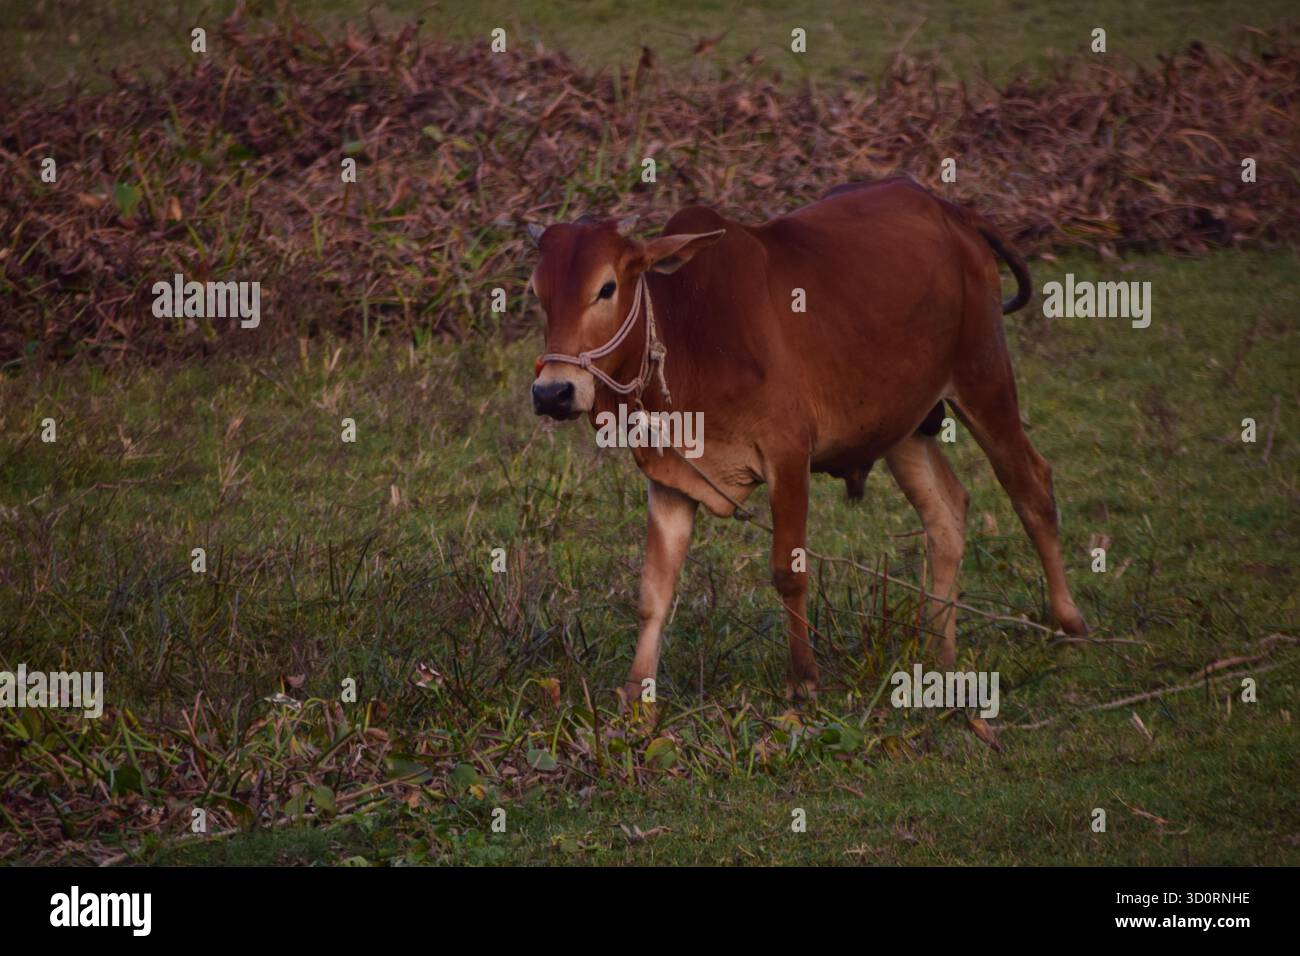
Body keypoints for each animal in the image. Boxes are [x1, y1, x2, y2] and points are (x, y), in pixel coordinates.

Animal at [527, 177, 1088, 706]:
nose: (554, 391)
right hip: (902, 425)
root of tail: (950, 208)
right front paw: (636, 693)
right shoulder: (671, 477)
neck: (690, 333)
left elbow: (788, 572)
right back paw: (938, 651)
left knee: (1031, 485)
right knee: (947, 511)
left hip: (983, 377)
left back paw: (1068, 622)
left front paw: (804, 680)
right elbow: (654, 591)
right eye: (537, 293)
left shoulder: (788, 456)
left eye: (606, 288)